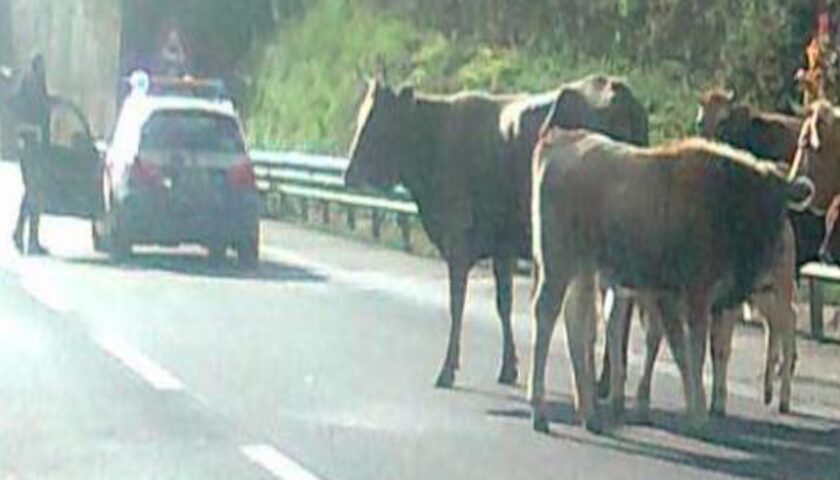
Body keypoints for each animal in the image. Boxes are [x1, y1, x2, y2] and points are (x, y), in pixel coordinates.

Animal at [344, 75, 648, 390]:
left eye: (375, 121)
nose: (348, 174)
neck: (435, 133)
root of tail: (612, 86)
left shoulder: (458, 241)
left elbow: (457, 303)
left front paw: (447, 370)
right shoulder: (503, 249)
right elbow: (503, 304)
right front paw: (508, 367)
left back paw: (604, 381)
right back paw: (608, 381)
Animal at [532, 129, 812, 434]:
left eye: (781, 206)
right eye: (760, 203)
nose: (778, 248)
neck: (723, 195)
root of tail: (560, 139)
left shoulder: (674, 297)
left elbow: (682, 350)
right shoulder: (695, 296)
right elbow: (693, 352)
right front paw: (699, 414)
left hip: (581, 269)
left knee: (575, 323)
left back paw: (589, 414)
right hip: (558, 264)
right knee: (546, 314)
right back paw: (541, 412)